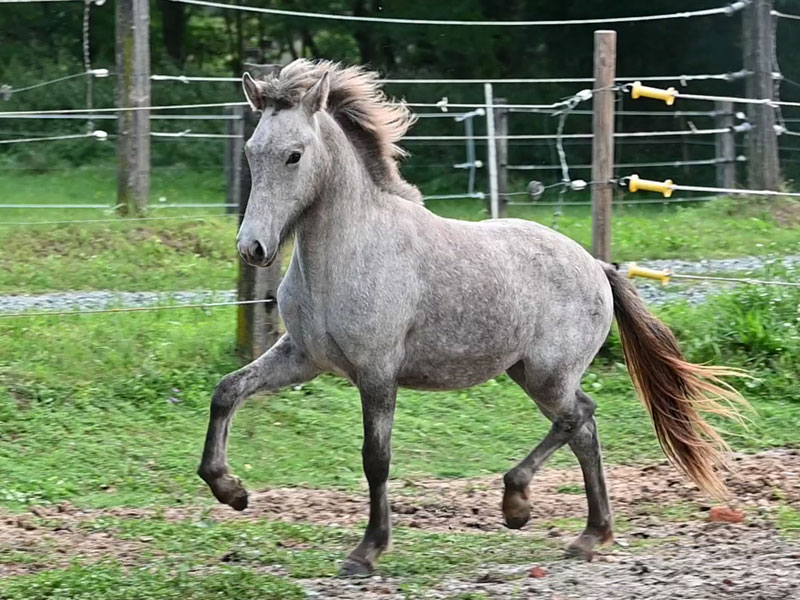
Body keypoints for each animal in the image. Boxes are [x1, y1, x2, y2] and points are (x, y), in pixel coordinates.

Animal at [197, 59, 745, 576]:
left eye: (294, 155)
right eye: (251, 151)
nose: (253, 248)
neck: (347, 251)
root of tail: (596, 265)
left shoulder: (376, 372)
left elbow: (376, 459)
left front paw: (367, 552)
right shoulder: (303, 357)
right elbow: (227, 391)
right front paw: (230, 490)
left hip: (548, 375)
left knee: (579, 418)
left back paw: (518, 504)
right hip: (528, 373)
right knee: (583, 431)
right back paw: (590, 536)